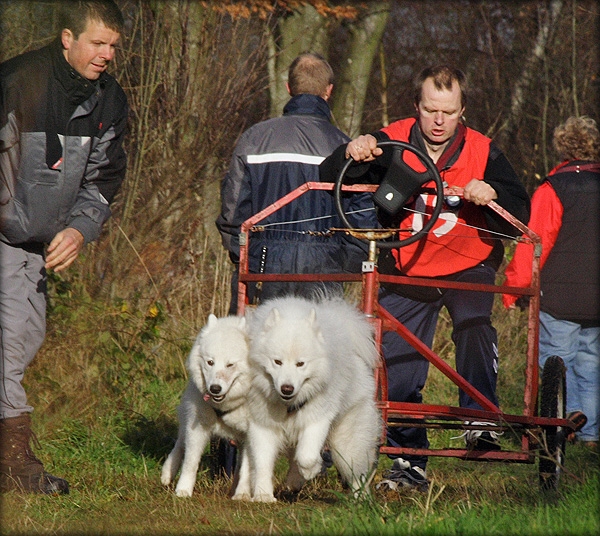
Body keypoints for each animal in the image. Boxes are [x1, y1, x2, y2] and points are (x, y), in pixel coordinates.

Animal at [159, 314, 251, 498]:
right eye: (210, 362)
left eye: (230, 365)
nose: (214, 388)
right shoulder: (198, 427)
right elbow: (190, 462)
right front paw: (183, 490)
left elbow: (246, 469)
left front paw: (242, 494)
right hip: (188, 418)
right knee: (180, 443)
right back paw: (168, 472)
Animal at [245, 294, 380, 502]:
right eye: (277, 362)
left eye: (300, 364)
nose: (287, 388)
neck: (287, 404)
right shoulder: (262, 424)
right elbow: (262, 463)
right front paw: (263, 495)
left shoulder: (317, 418)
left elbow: (307, 456)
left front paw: (312, 470)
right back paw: (294, 482)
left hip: (346, 443)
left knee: (358, 472)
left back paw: (361, 500)